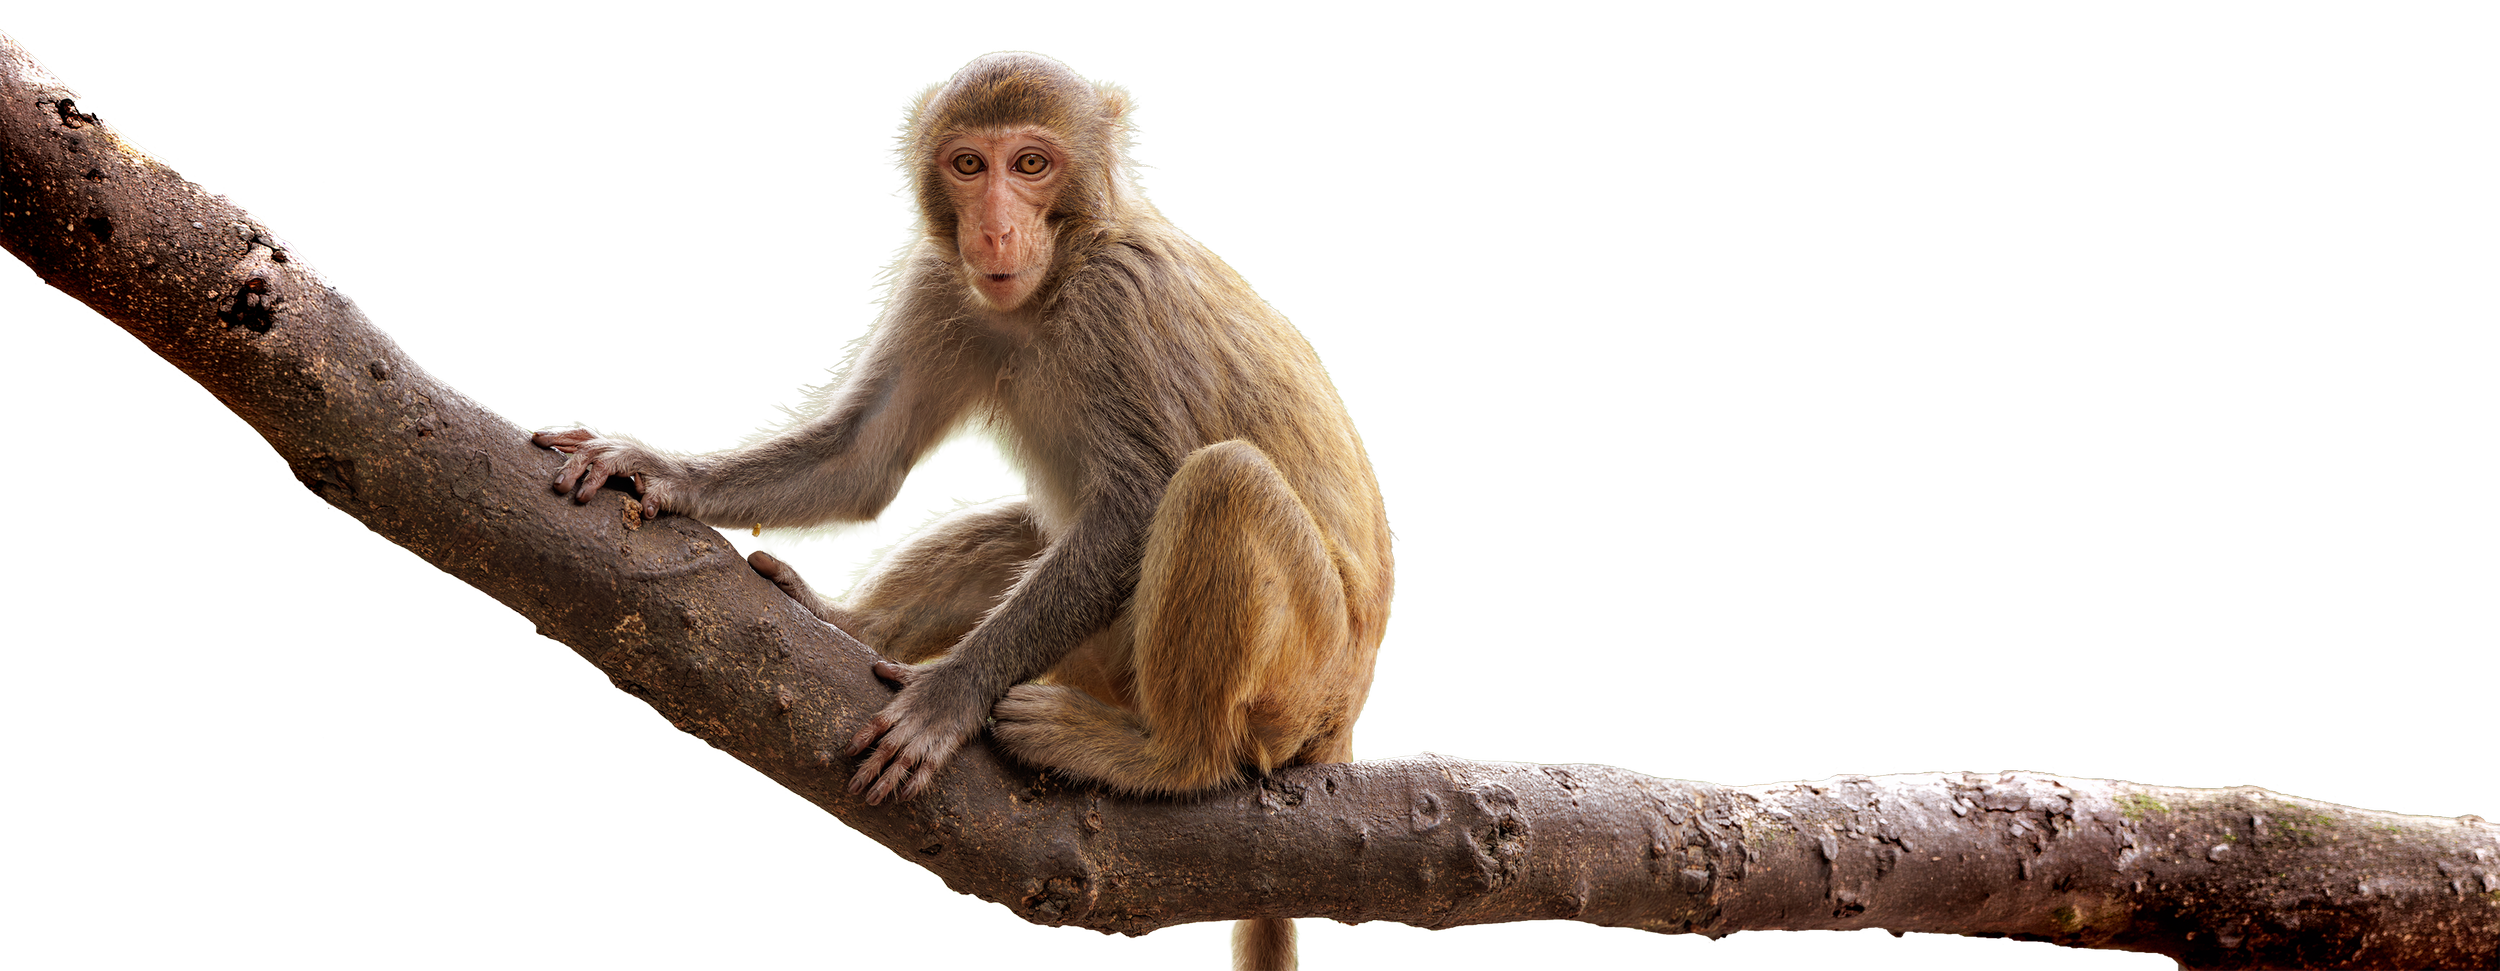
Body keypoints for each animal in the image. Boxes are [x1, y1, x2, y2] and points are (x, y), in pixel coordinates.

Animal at [531, 52, 1392, 971]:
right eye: (970, 165)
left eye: (1032, 164)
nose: (996, 230)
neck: (1062, 272)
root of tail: (1341, 723)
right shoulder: (940, 280)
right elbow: (864, 456)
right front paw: (654, 469)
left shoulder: (1116, 302)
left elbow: (1135, 504)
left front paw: (949, 697)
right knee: (1030, 527)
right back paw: (850, 625)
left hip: (1299, 683)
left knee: (1219, 480)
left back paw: (1164, 755)